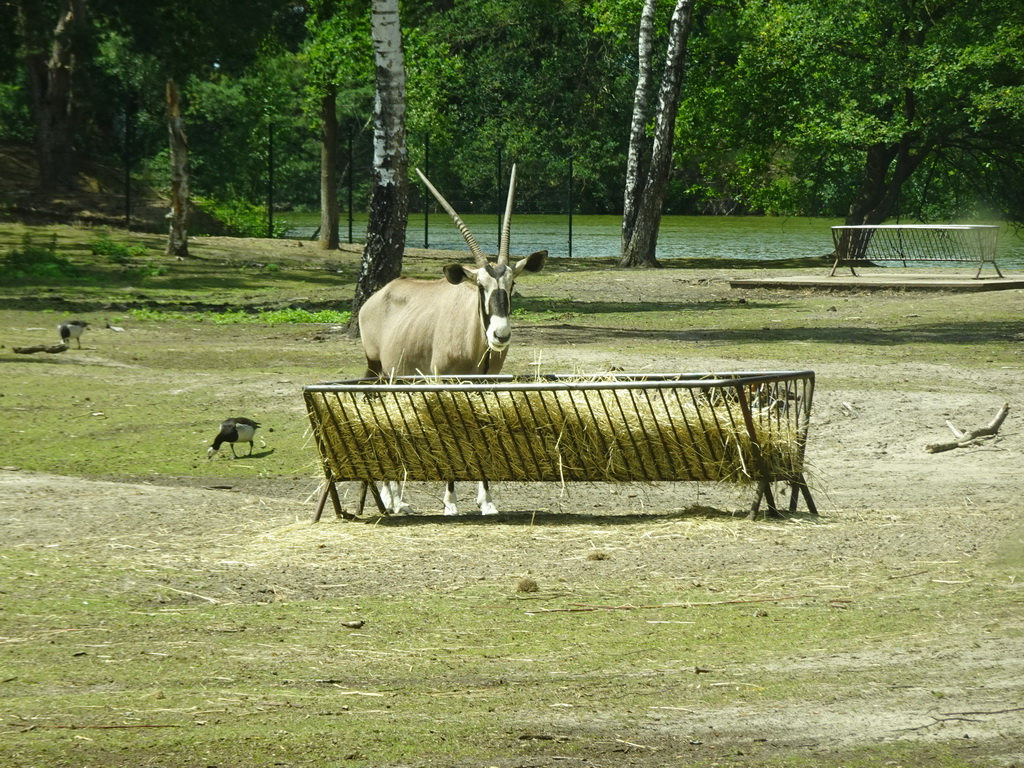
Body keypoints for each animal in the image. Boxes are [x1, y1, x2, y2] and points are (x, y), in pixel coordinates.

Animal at [362, 167, 552, 518]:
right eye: (479, 286)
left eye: (512, 284)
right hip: (380, 372)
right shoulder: (443, 382)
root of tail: (378, 296)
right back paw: (392, 499)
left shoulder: (485, 385)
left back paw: (395, 498)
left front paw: (487, 501)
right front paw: (450, 502)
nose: (500, 335)